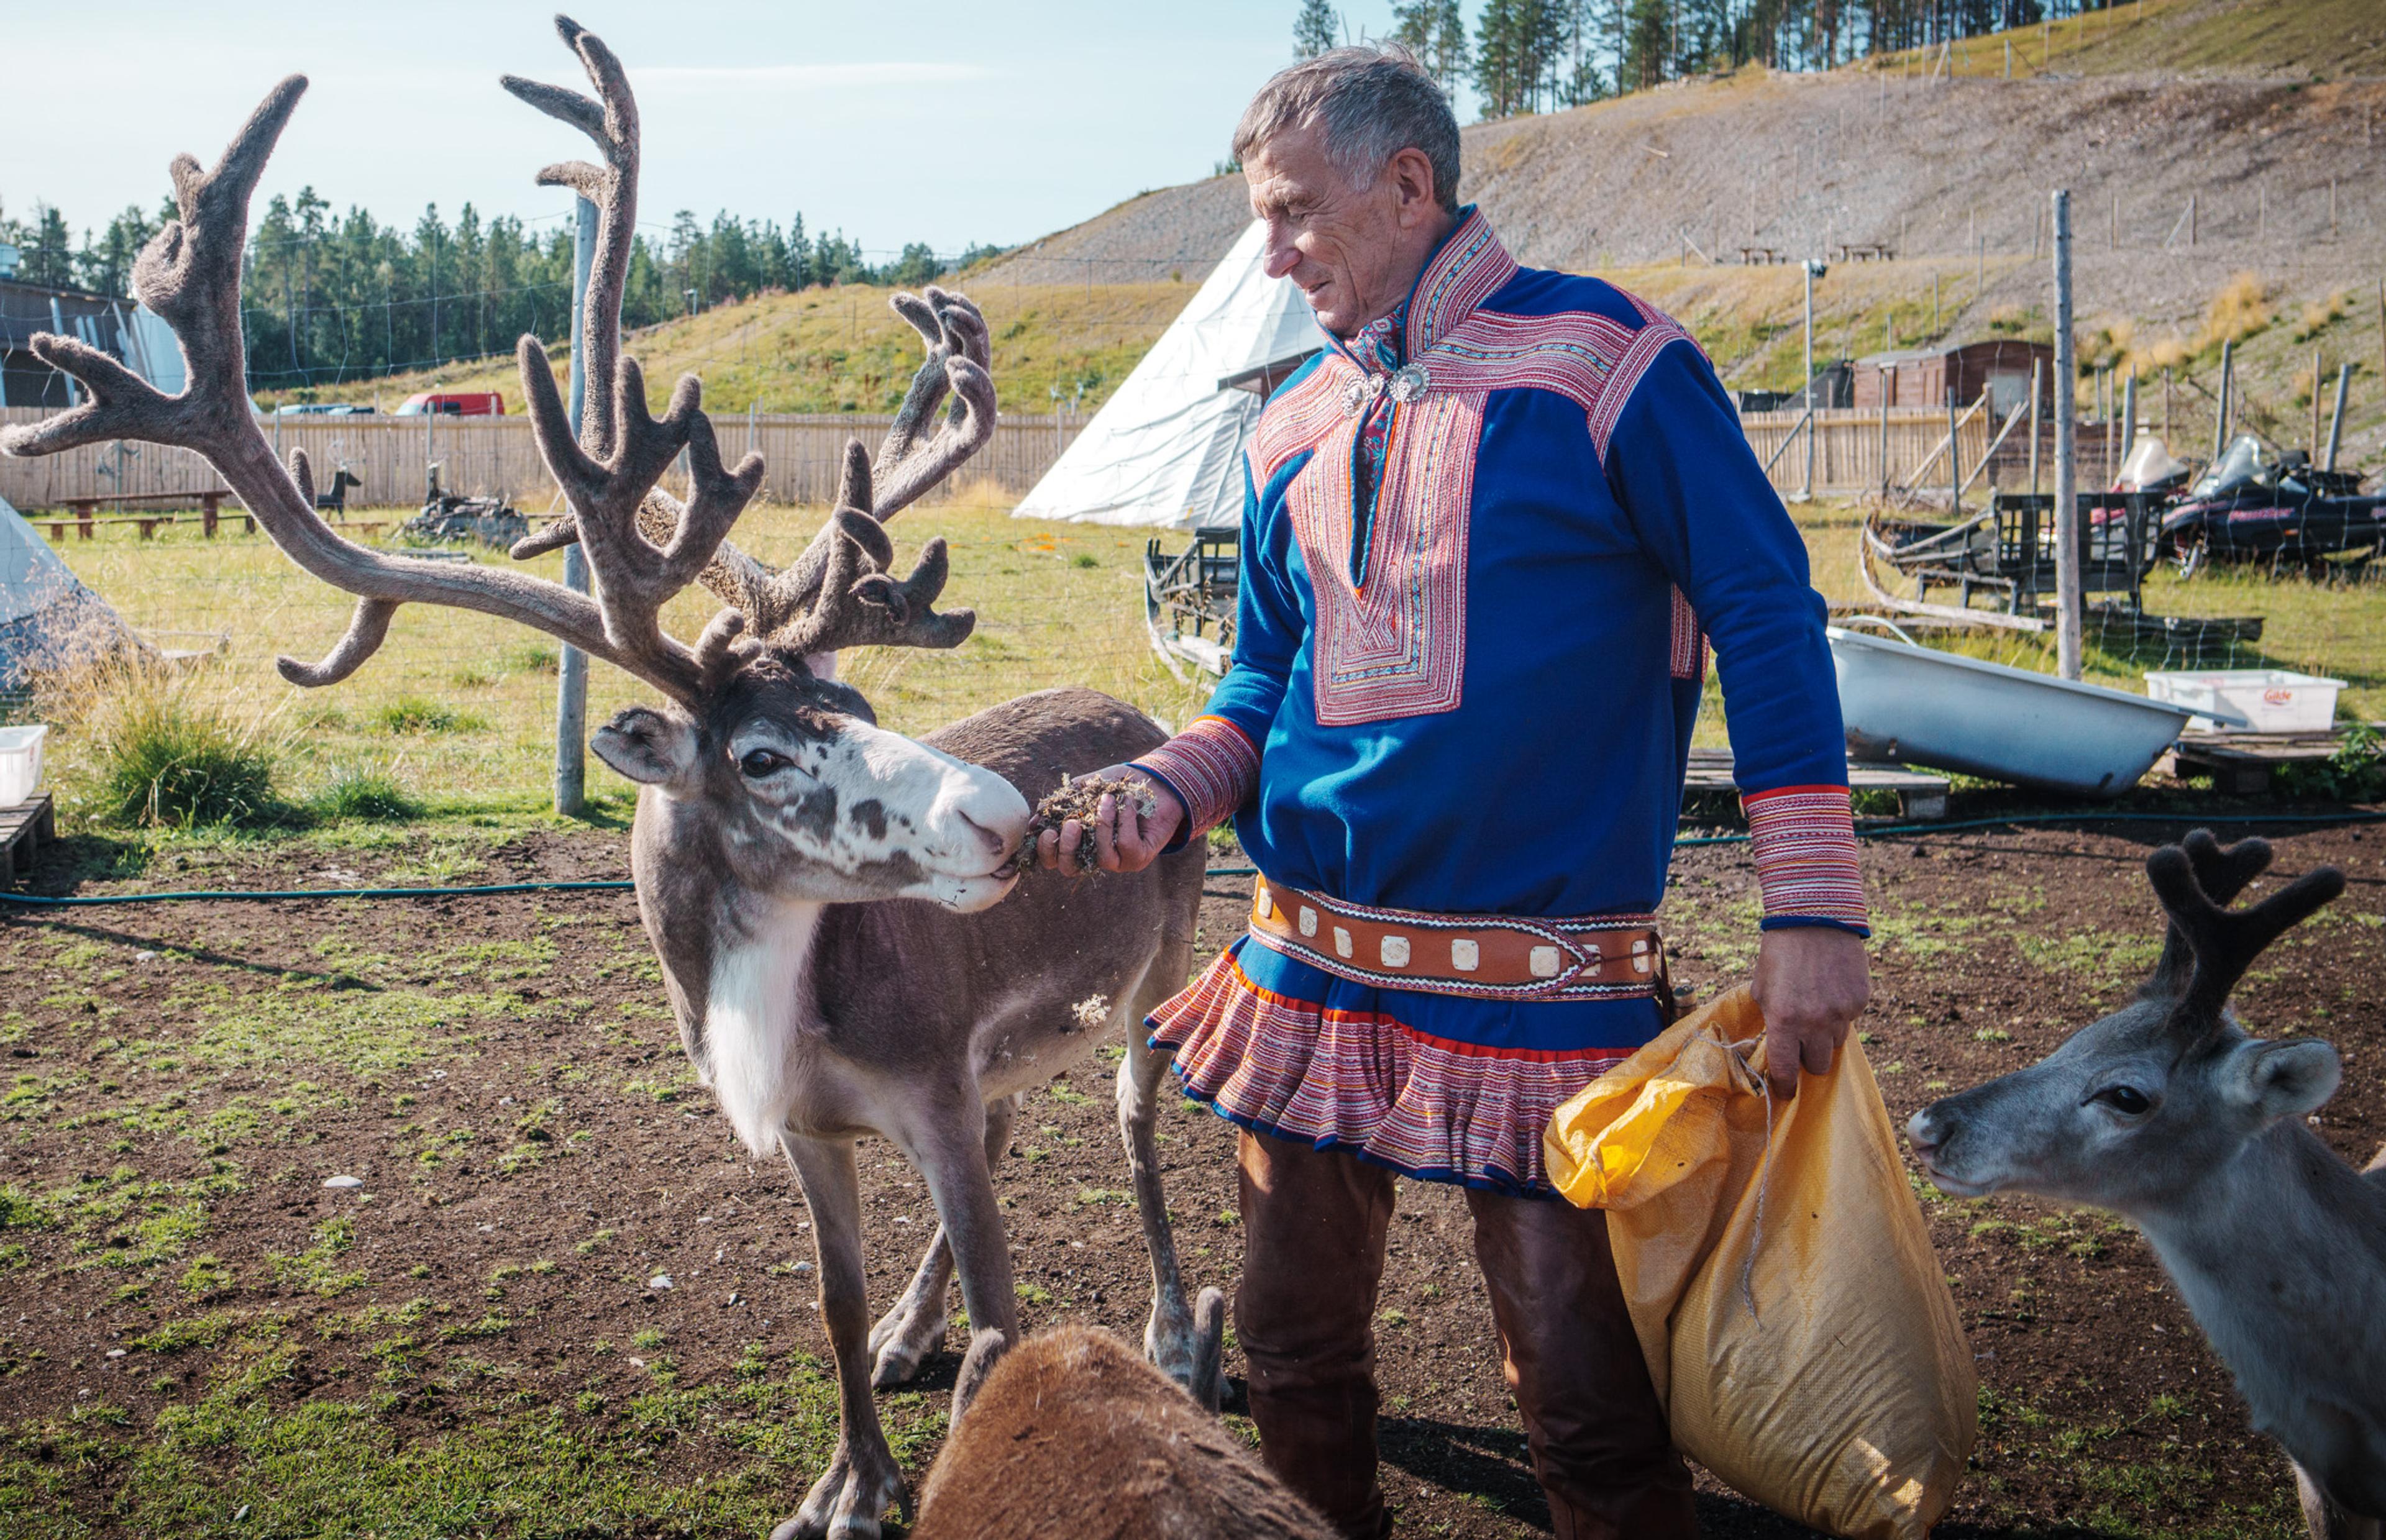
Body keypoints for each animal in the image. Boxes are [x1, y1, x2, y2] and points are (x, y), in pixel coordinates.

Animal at [0, 19, 1224, 1539]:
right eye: (762, 751)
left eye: (864, 700)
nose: (1004, 815)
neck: (780, 1027)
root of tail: (1136, 705)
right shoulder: (820, 1128)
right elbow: (829, 1306)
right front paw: (845, 1479)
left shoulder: (930, 1087)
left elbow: (1010, 1325)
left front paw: (915, 1457)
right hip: (1008, 1053)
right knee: (1014, 1139)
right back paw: (916, 1327)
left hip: (1158, 966)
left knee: (1136, 1116)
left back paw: (1176, 1328)